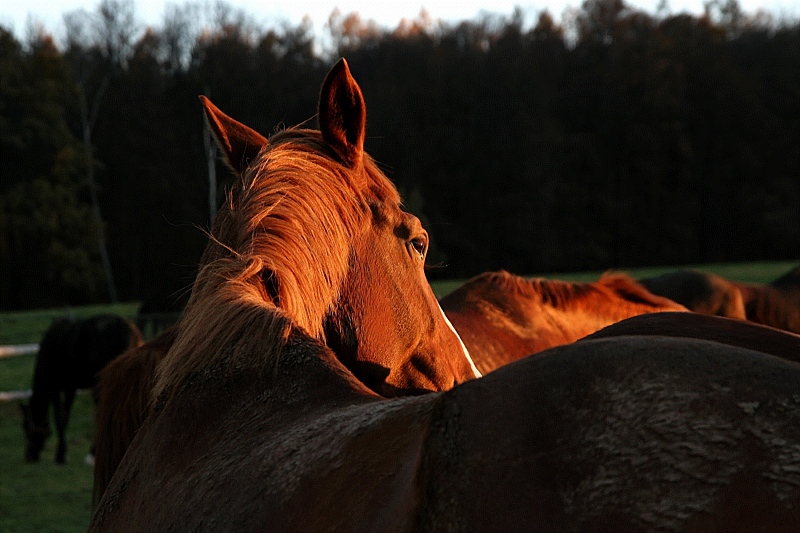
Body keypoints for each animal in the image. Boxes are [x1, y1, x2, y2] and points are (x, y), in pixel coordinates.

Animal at [20, 314, 144, 464]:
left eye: (25, 425)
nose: (28, 456)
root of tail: (134, 334)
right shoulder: (73, 389)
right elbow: (67, 416)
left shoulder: (56, 387)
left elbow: (60, 418)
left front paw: (60, 455)